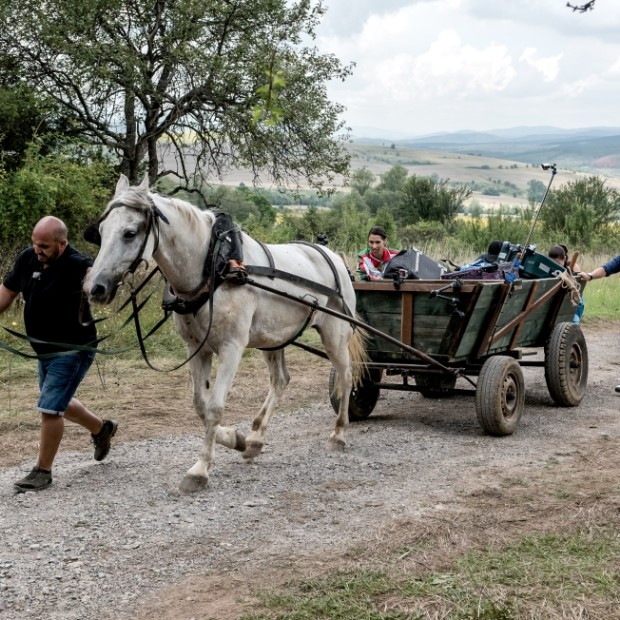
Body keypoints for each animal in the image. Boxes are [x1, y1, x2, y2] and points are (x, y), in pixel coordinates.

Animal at [86, 176, 368, 494]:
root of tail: (334, 257)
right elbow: (200, 405)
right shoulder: (196, 348)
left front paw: (199, 469)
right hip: (274, 339)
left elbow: (215, 407)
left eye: (130, 233)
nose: (95, 288)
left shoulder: (231, 347)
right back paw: (256, 440)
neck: (213, 266)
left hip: (335, 334)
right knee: (281, 379)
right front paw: (236, 439)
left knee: (345, 376)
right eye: (101, 231)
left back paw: (339, 433)